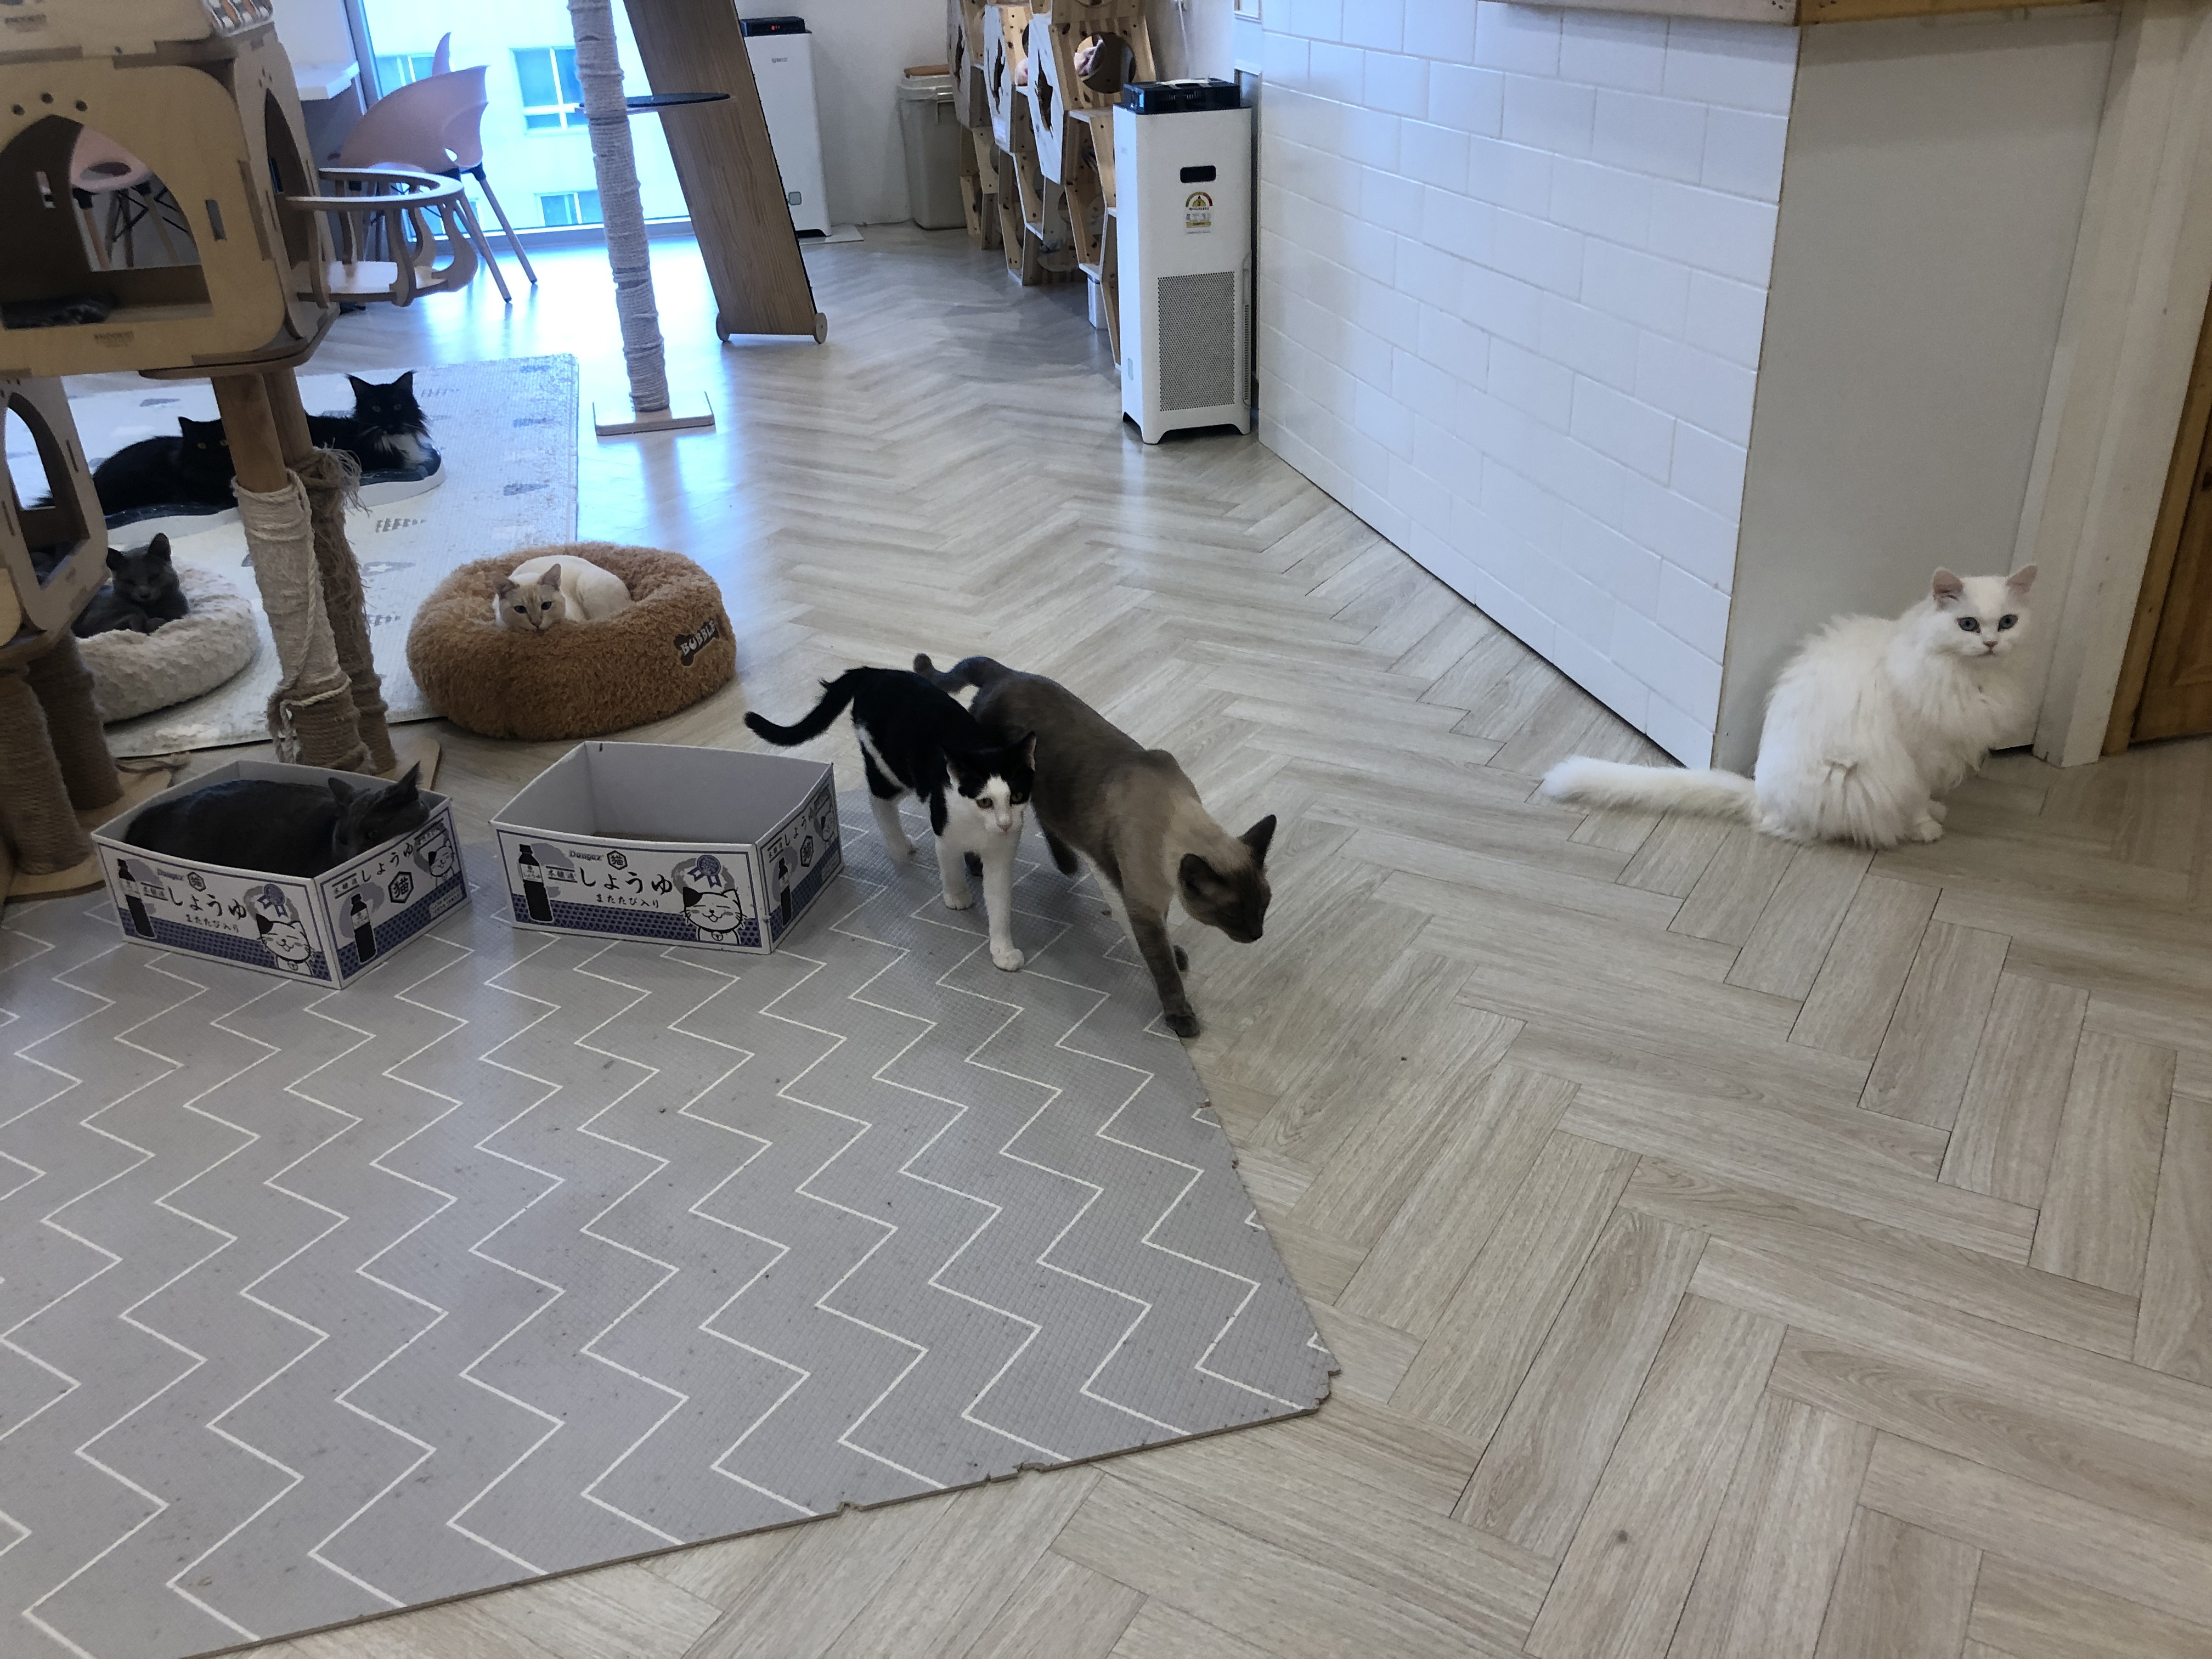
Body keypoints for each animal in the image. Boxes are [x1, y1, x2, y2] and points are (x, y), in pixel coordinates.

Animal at [73, 533, 189, 637]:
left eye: (154, 577)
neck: (152, 609)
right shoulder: (94, 618)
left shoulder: (181, 611)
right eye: (129, 581)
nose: (144, 594)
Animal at [744, 667, 1037, 971]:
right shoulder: (944, 829)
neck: (980, 827)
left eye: (1017, 796)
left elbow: (999, 901)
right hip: (889, 767)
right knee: (878, 800)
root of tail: (873, 672)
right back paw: (899, 846)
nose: (1005, 823)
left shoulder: (1001, 854)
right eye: (985, 801)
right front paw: (957, 896)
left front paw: (1004, 951)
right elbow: (950, 866)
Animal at [919, 654, 1273, 1037]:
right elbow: (1163, 968)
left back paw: (1068, 864)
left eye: (1264, 906)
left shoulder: (1151, 899)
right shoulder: (1140, 904)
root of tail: (1006, 673)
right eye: (1232, 913)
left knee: (1048, 817)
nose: (1257, 935)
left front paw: (1176, 954)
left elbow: (1165, 940)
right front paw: (1181, 1016)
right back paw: (981, 865)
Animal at [1543, 567, 2038, 849]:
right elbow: (1916, 799)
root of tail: (1760, 792)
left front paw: (1936, 811)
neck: (1971, 681)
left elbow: (1929, 796)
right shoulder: (1918, 754)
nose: (1991, 643)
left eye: (2007, 622)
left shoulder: (1943, 752)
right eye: (1967, 624)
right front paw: (1925, 827)